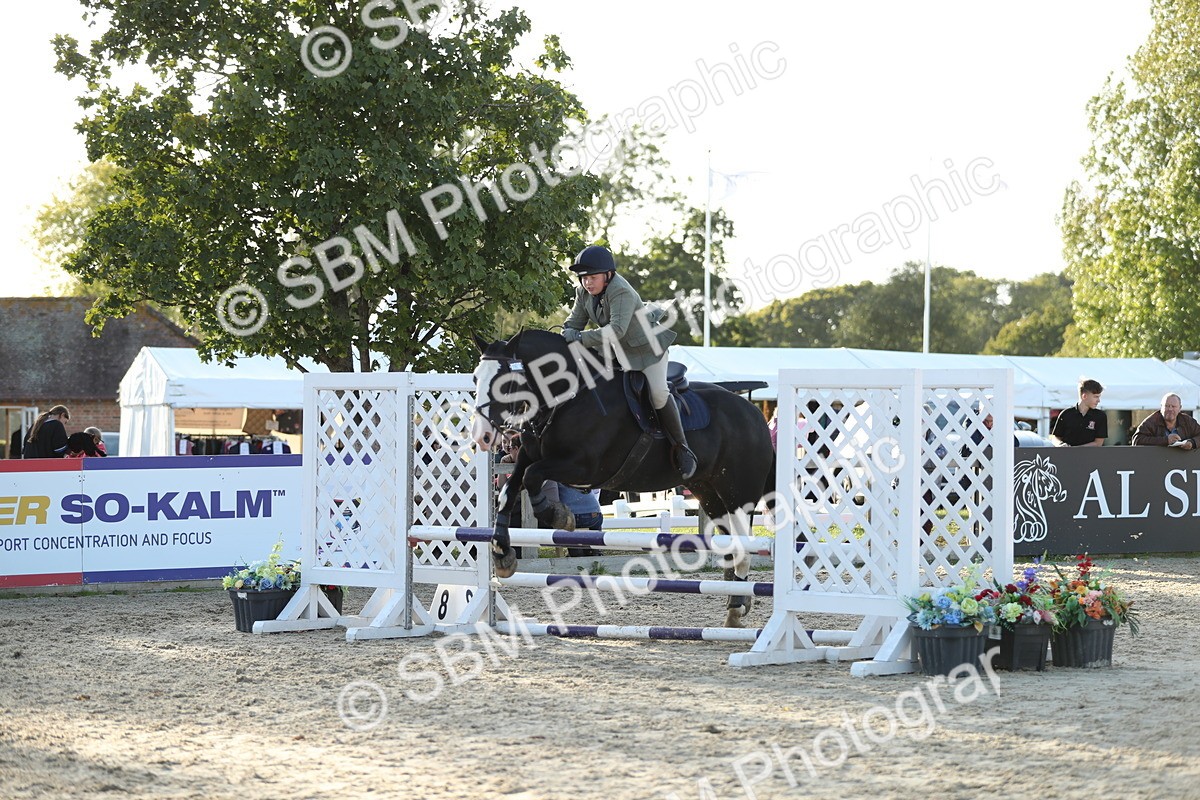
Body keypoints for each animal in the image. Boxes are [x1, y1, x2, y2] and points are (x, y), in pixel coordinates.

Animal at [470, 330, 776, 627]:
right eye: (475, 377)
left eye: (504, 383)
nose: (482, 436)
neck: (566, 398)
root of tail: (755, 415)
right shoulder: (528, 457)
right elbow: (509, 491)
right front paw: (502, 554)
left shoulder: (583, 468)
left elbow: (533, 477)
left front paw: (558, 516)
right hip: (709, 492)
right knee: (731, 545)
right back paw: (737, 602)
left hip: (738, 494)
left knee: (743, 547)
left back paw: (736, 609)